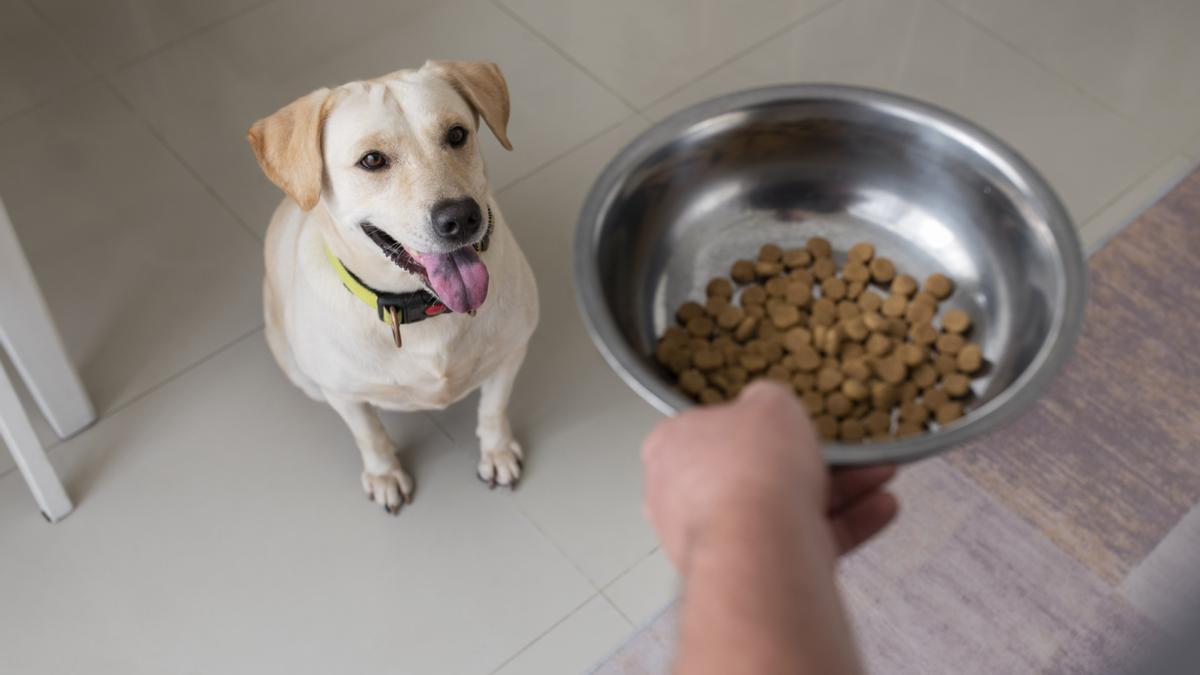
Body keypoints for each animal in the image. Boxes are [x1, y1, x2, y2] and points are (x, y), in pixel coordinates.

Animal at [248, 61, 540, 509]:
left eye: (457, 134)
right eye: (372, 160)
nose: (461, 217)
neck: (423, 307)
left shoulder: (511, 353)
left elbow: (493, 409)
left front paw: (497, 452)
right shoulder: (343, 395)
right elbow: (370, 435)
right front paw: (384, 475)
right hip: (301, 373)